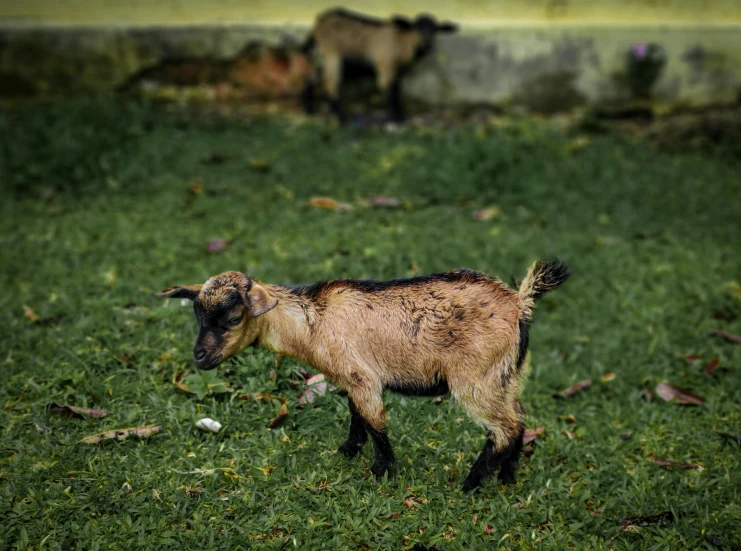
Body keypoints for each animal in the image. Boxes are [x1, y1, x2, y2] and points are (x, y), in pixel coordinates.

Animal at [160, 260, 568, 494]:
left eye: (232, 318)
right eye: (198, 316)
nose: (199, 357)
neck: (312, 323)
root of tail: (519, 303)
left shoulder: (363, 378)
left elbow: (375, 422)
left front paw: (380, 471)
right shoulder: (350, 378)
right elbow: (357, 416)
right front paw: (347, 451)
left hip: (475, 379)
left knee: (503, 429)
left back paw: (470, 485)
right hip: (507, 375)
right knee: (519, 420)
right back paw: (507, 477)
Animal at [300, 7, 456, 122]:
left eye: (436, 29)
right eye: (416, 27)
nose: (427, 43)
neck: (401, 41)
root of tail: (318, 24)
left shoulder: (397, 69)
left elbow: (397, 88)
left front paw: (401, 115)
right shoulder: (385, 63)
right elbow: (389, 89)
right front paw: (395, 118)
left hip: (328, 57)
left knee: (313, 77)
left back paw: (308, 109)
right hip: (332, 53)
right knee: (329, 84)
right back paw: (343, 118)